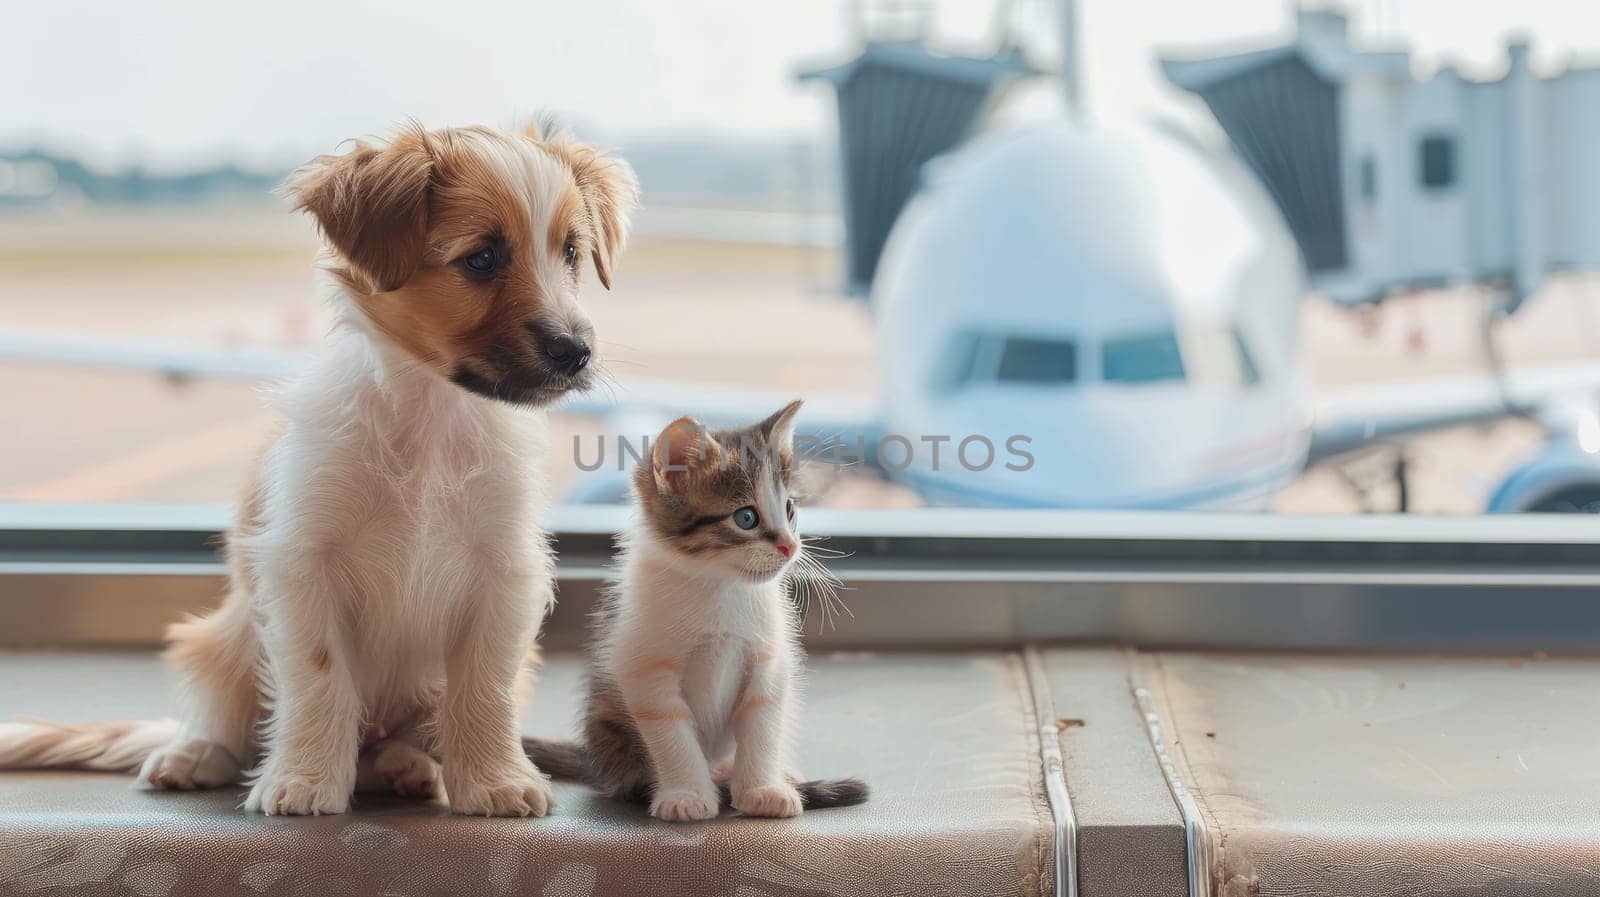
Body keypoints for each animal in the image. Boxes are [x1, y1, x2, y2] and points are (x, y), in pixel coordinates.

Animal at [0, 122, 636, 815]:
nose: (576, 353)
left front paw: (495, 780)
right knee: (224, 721)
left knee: (398, 742)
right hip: (221, 641)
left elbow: (482, 689)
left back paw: (408, 765)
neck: (430, 420)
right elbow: (320, 680)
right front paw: (304, 779)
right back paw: (192, 755)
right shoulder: (303, 561)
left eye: (571, 252)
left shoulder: (503, 572)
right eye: (483, 258)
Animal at [524, 398, 864, 818]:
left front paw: (761, 789)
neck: (720, 586)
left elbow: (762, 721)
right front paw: (687, 795)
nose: (790, 546)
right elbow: (671, 729)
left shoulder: (769, 659)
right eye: (746, 517)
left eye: (789, 510)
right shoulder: (644, 667)